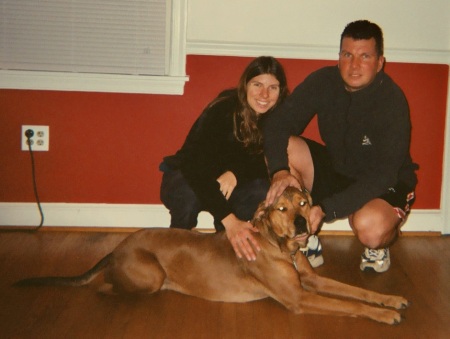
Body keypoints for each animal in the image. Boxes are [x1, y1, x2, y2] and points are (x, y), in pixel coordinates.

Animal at [14, 187, 408, 326]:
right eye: (281, 208)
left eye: (302, 202)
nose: (300, 223)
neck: (279, 246)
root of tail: (117, 248)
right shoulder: (298, 297)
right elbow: (350, 304)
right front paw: (382, 315)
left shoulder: (311, 280)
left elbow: (357, 291)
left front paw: (390, 299)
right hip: (150, 275)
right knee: (105, 288)